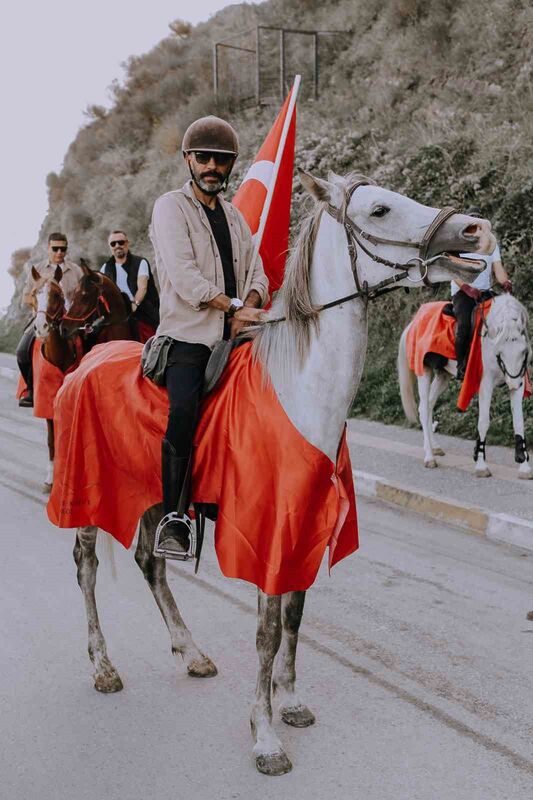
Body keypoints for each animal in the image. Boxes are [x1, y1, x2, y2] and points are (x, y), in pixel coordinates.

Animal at [68, 172, 488, 780]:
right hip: (88, 496)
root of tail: (86, 361)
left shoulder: (303, 526)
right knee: (88, 567)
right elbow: (267, 632)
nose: (474, 229)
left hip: (151, 496)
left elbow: (294, 615)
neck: (299, 393)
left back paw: (192, 653)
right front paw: (264, 736)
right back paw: (102, 665)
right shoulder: (266, 535)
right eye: (380, 210)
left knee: (151, 561)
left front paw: (289, 702)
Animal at [396, 296, 528, 478]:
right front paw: (481, 466)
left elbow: (519, 423)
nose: (513, 383)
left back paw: (434, 447)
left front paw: (524, 467)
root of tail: (412, 324)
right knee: (423, 408)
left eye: (523, 351)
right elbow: (484, 422)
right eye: (500, 350)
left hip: (443, 377)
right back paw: (429, 457)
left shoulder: (518, 386)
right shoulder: (485, 385)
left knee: (428, 406)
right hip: (424, 372)